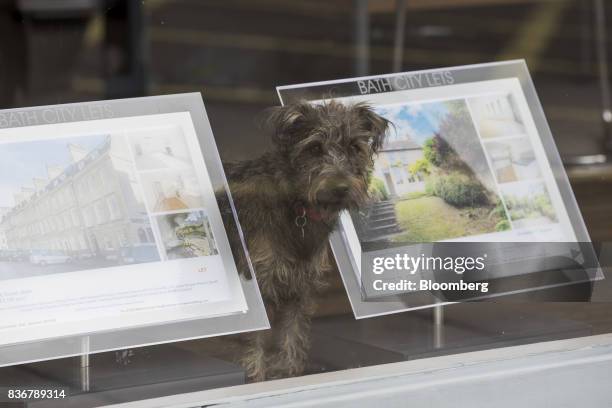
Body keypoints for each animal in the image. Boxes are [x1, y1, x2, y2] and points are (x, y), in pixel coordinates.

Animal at [224, 100, 388, 380]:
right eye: (314, 148)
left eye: (354, 147)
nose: (341, 187)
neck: (295, 204)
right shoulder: (258, 283)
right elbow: (254, 343)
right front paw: (255, 377)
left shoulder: (299, 287)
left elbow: (293, 333)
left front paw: (288, 371)